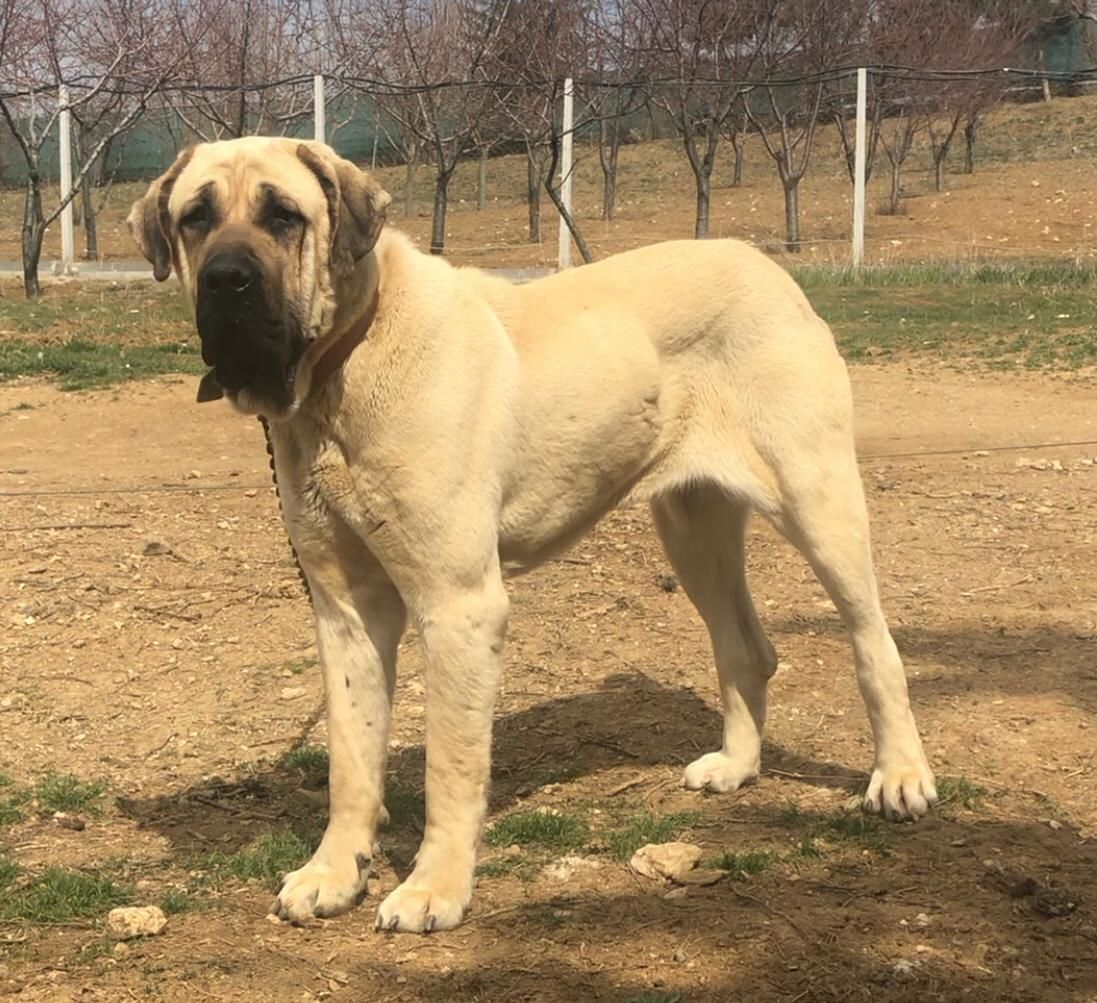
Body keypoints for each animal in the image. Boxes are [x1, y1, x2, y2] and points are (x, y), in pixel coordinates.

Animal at [126, 132, 934, 930]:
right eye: (196, 217)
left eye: (283, 216)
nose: (227, 280)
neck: (344, 364)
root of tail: (763, 263)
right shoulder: (345, 610)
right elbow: (350, 759)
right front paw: (335, 870)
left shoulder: (458, 603)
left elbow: (450, 763)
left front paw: (434, 887)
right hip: (691, 524)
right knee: (746, 646)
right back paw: (736, 766)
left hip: (817, 498)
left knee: (874, 642)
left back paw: (899, 776)